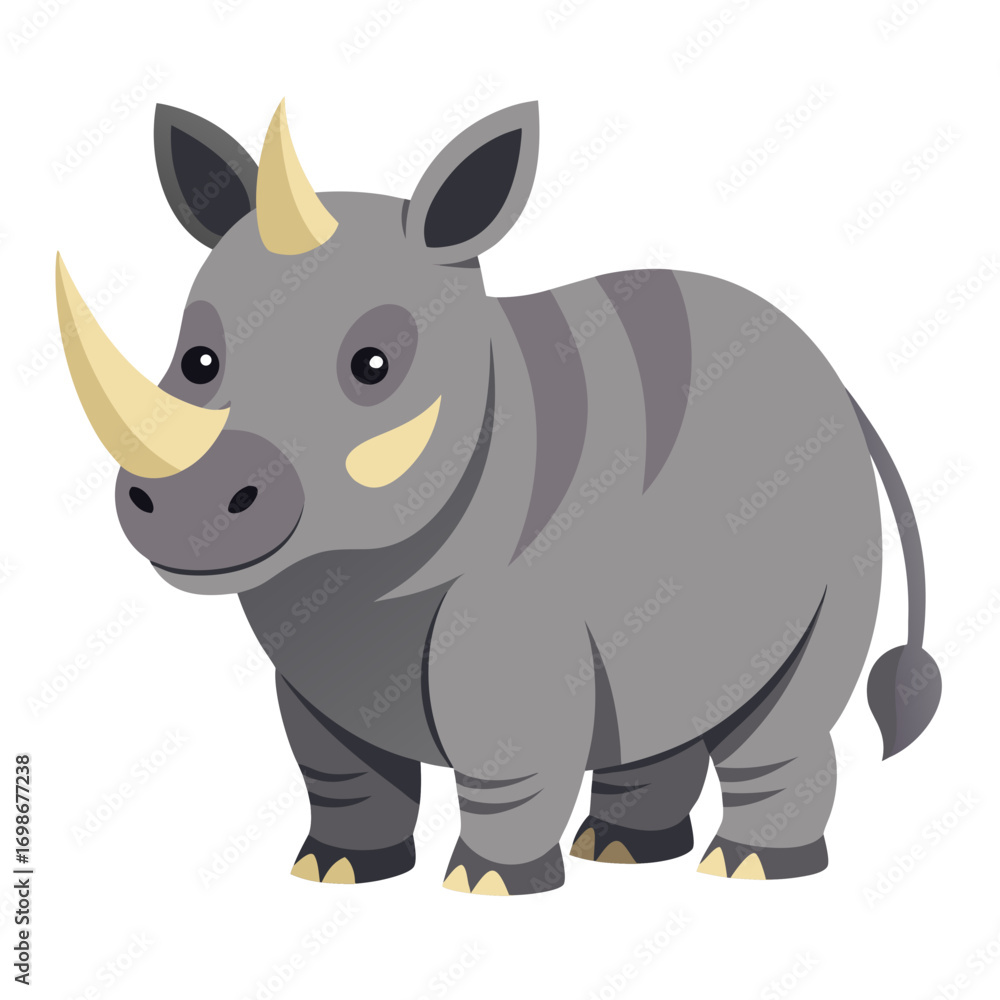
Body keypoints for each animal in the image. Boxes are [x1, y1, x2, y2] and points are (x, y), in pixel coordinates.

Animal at [56, 99, 941, 895]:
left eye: (374, 365)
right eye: (197, 362)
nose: (185, 501)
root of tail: (831, 376)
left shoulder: (511, 623)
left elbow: (505, 757)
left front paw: (487, 886)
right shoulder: (311, 653)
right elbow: (338, 768)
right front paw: (335, 872)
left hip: (832, 506)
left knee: (784, 711)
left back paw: (748, 870)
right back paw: (620, 855)